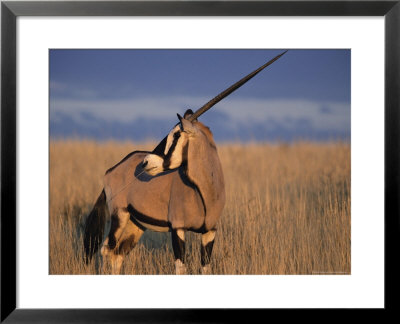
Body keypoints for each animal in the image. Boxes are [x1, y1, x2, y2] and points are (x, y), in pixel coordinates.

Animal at [83, 50, 286, 274]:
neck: (205, 189)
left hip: (136, 224)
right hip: (120, 215)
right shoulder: (178, 229)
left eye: (176, 134)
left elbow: (205, 268)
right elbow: (181, 268)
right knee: (107, 250)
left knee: (118, 254)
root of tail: (111, 170)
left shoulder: (210, 232)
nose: (145, 162)